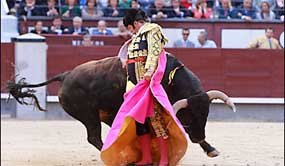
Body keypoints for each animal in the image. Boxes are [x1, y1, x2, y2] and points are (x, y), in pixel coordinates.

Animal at [7, 53, 234, 151]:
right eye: (186, 116)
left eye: (206, 114)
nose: (198, 137)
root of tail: (66, 75)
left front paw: (210, 148)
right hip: (88, 115)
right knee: (94, 138)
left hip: (107, 113)